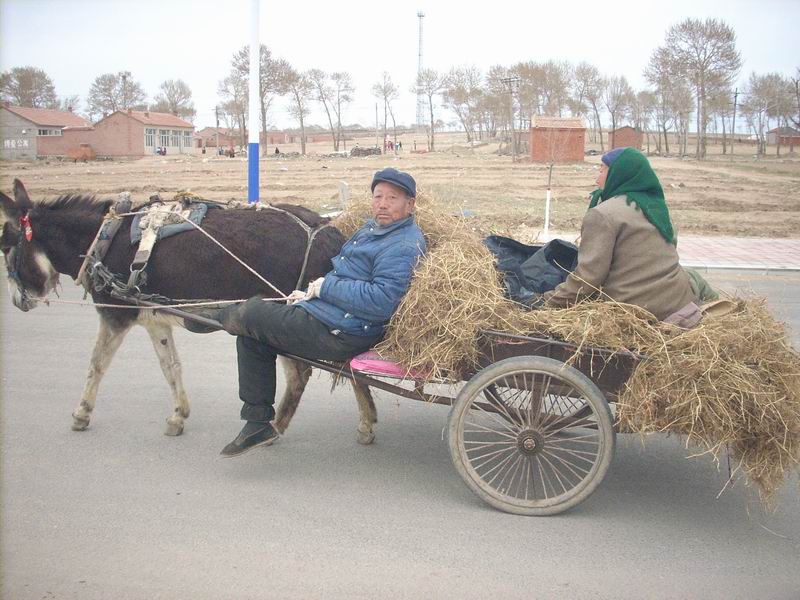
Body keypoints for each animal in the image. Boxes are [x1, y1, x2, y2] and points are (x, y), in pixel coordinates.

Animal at [1, 179, 380, 443]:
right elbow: (171, 367)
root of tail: (327, 230)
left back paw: (276, 427)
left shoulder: (116, 314)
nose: (18, 301)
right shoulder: (153, 318)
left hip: (285, 314)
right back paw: (362, 422)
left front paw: (81, 414)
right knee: (346, 365)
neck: (102, 239)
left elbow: (96, 364)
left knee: (306, 371)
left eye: (5, 247)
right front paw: (178, 415)